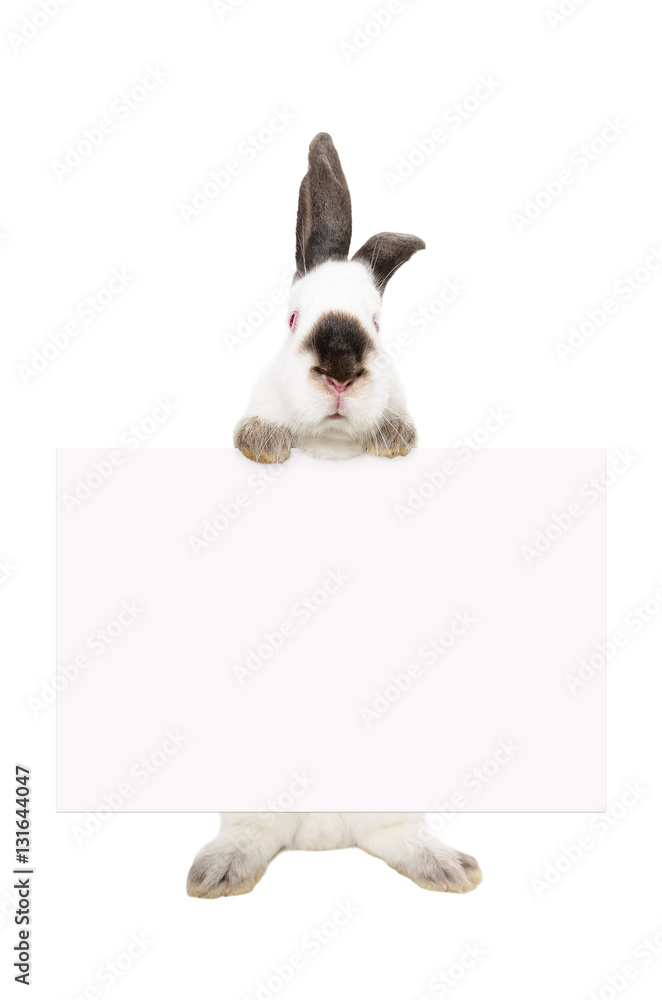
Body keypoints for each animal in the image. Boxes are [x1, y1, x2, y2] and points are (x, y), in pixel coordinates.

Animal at [187, 812, 482, 897]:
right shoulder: (255, 822)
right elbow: (243, 837)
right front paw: (218, 869)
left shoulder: (385, 825)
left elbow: (411, 839)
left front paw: (446, 865)